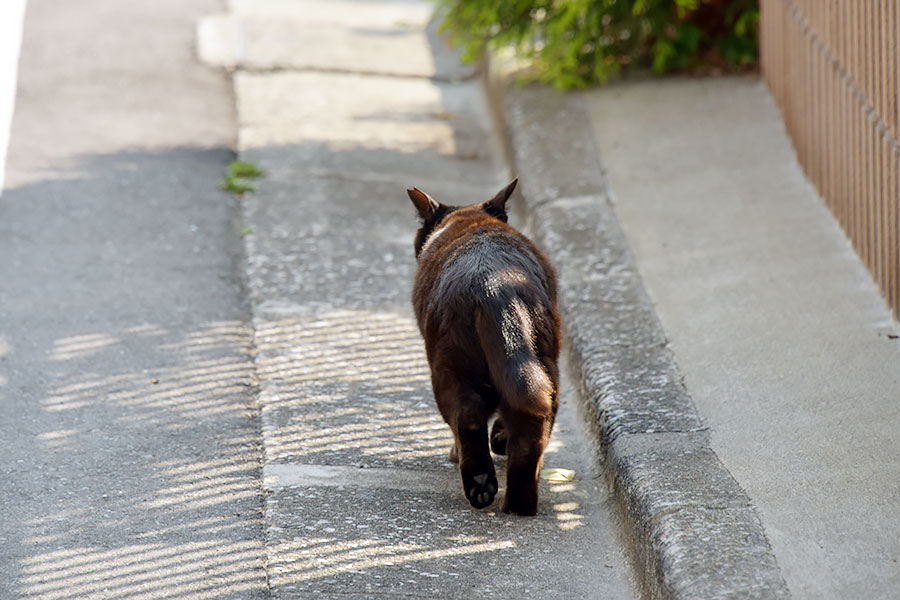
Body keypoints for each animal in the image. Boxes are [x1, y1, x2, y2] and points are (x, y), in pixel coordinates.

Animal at [410, 178, 564, 516]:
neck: (471, 222)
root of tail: (493, 285)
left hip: (449, 368)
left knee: (467, 418)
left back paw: (480, 484)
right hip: (543, 367)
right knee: (532, 432)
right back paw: (518, 505)